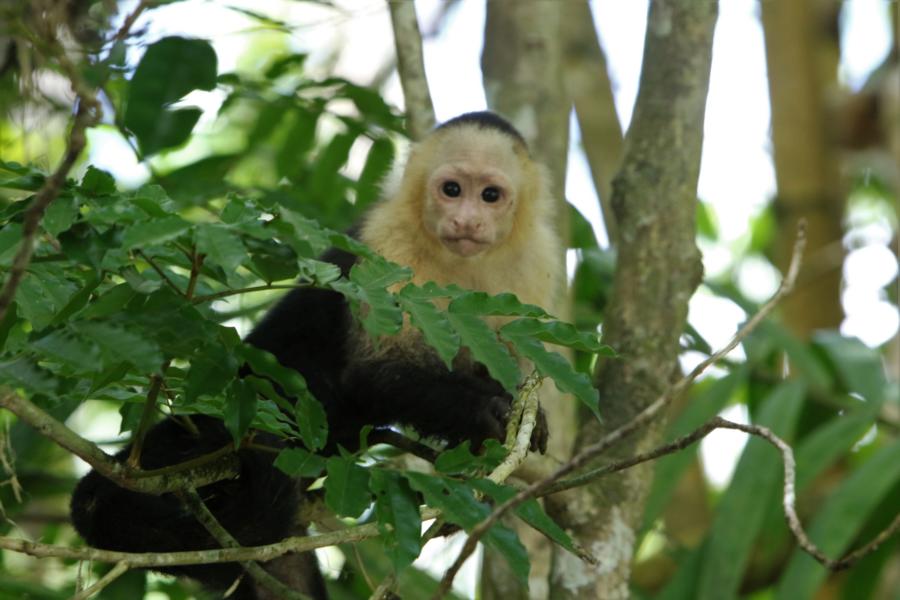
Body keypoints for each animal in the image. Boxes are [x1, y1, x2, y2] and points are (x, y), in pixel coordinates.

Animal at [72, 111, 564, 600]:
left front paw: (508, 428)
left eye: (490, 195)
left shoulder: (536, 263)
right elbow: (371, 375)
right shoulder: (388, 247)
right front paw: (488, 408)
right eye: (452, 190)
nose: (465, 220)